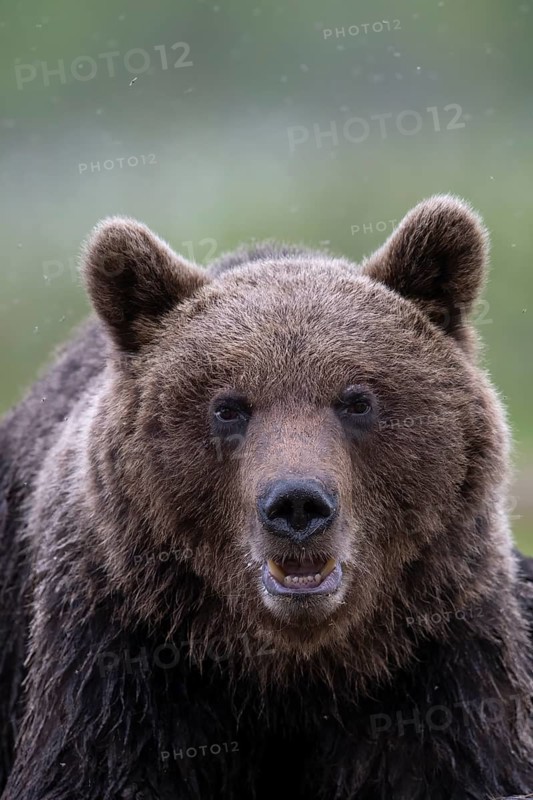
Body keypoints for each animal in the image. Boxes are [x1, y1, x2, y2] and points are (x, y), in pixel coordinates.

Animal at [0, 195, 532, 800]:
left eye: (357, 400)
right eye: (229, 406)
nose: (297, 504)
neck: (284, 673)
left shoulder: (441, 649)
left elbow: (454, 757)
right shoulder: (122, 648)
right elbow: (97, 765)